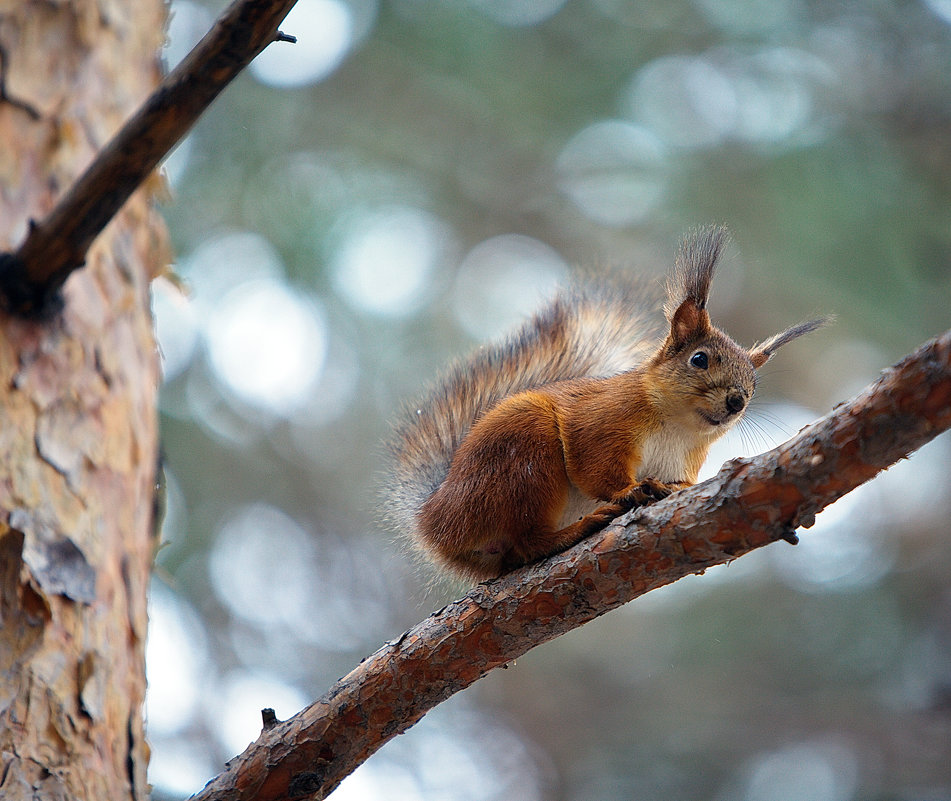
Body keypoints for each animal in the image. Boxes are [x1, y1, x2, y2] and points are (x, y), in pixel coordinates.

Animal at [384, 227, 828, 580]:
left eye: (753, 385)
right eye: (699, 359)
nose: (736, 401)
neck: (677, 427)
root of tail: (435, 521)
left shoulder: (684, 462)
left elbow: (682, 485)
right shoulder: (601, 423)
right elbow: (596, 470)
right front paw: (631, 491)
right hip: (523, 452)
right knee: (529, 542)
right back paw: (578, 529)